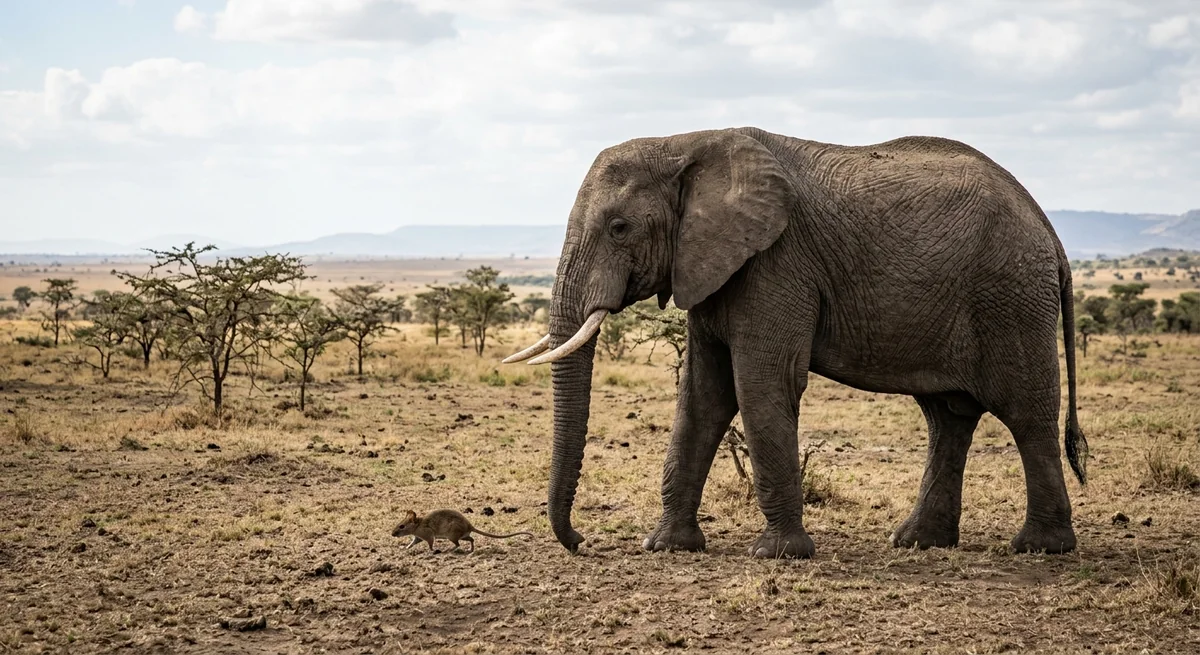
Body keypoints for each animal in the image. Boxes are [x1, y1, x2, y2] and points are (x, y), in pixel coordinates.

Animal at [503, 127, 1088, 559]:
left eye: (620, 228)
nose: (581, 542)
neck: (686, 143)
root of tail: (1050, 231)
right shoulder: (713, 264)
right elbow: (703, 398)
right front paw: (667, 547)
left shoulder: (776, 264)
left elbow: (762, 386)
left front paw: (779, 554)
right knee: (948, 417)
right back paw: (918, 542)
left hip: (1011, 296)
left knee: (1026, 413)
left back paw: (1040, 549)